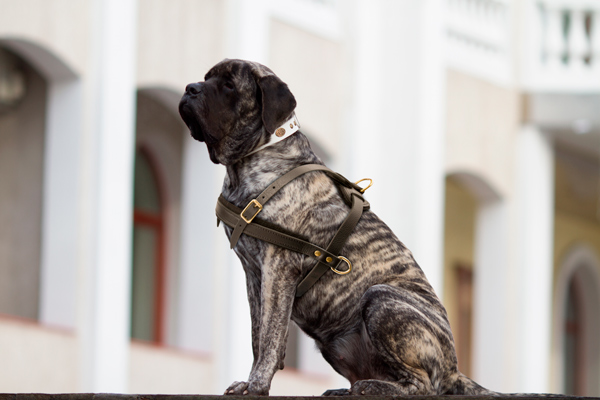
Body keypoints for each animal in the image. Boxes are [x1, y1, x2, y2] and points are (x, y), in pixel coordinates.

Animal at [178, 58, 492, 396]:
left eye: (229, 86)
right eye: (207, 77)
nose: (190, 88)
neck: (253, 162)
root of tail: (455, 370)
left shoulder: (277, 267)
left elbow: (270, 337)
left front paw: (257, 384)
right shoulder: (254, 274)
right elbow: (257, 336)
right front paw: (252, 380)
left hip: (381, 299)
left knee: (423, 386)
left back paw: (371, 387)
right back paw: (349, 388)